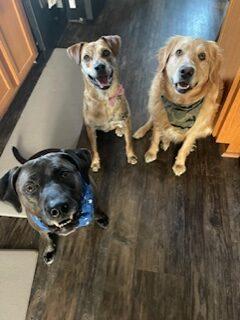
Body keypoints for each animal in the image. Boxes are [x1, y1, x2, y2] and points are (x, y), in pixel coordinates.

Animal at [67, 36, 137, 171]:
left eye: (106, 52)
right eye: (86, 57)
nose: (99, 67)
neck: (104, 98)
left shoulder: (126, 120)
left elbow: (129, 142)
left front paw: (131, 155)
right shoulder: (90, 128)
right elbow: (94, 148)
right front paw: (95, 162)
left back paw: (119, 130)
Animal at [134, 36, 222, 176]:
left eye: (202, 56)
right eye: (179, 52)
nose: (186, 71)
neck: (180, 103)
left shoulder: (194, 131)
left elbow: (184, 147)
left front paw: (179, 164)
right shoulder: (159, 118)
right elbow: (155, 138)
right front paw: (151, 153)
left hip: (207, 128)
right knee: (151, 121)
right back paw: (142, 132)